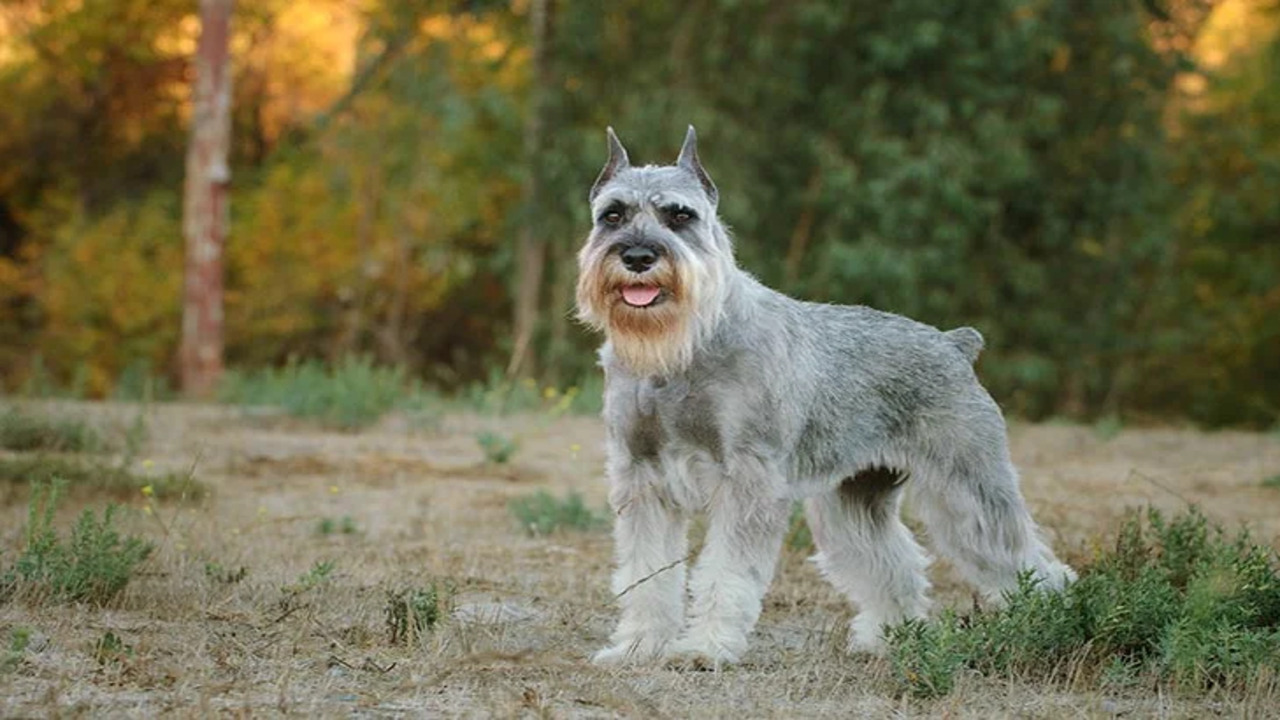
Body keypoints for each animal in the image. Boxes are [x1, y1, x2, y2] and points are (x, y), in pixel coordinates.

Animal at [576, 124, 1075, 666]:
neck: (685, 346)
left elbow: (727, 572)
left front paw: (705, 648)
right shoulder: (641, 474)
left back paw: (1049, 623)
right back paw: (887, 637)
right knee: (894, 563)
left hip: (968, 488)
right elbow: (646, 573)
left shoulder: (748, 477)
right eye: (613, 214)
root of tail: (954, 344)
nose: (638, 256)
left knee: (1026, 558)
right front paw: (639, 645)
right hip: (853, 499)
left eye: (680, 215)